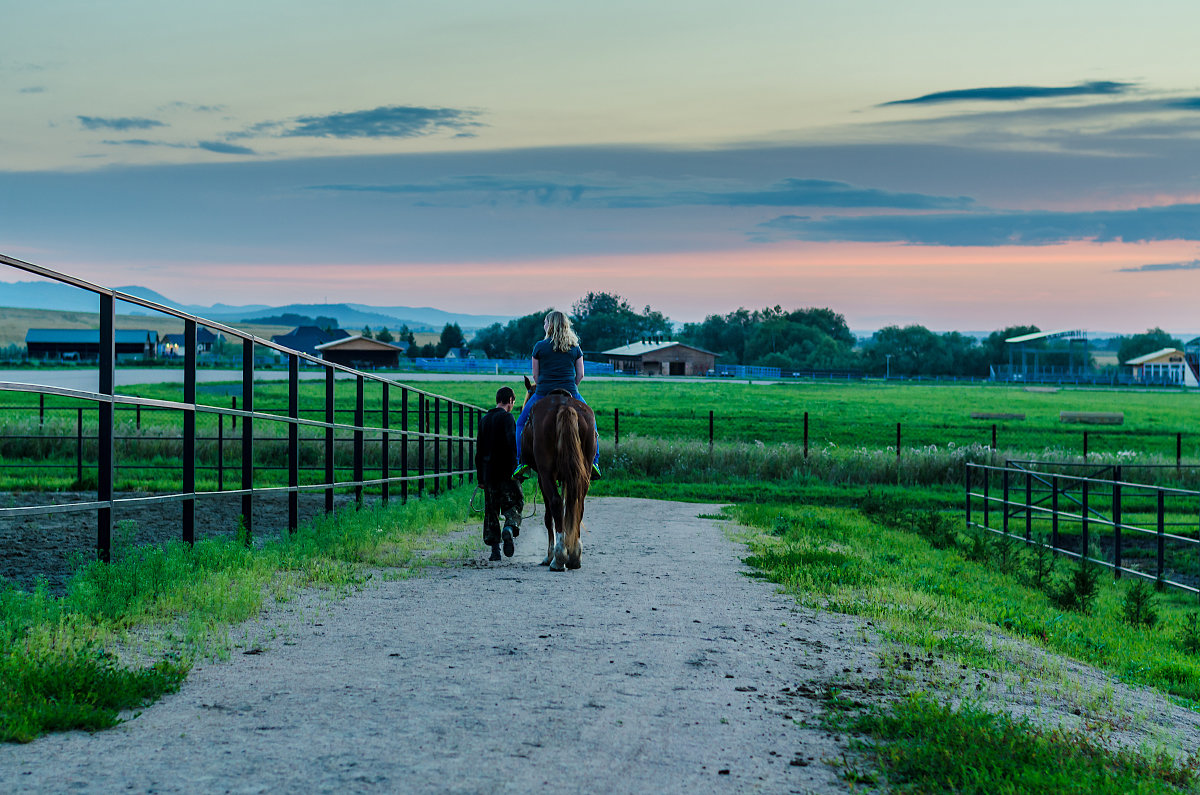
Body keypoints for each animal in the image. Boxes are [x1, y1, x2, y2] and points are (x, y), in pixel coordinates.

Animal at [520, 374, 595, 574]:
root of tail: (565, 406)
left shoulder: (543, 476)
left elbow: (549, 515)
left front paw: (549, 555)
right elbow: (567, 507)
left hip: (546, 473)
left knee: (554, 504)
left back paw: (559, 557)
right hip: (584, 470)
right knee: (578, 502)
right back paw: (575, 556)